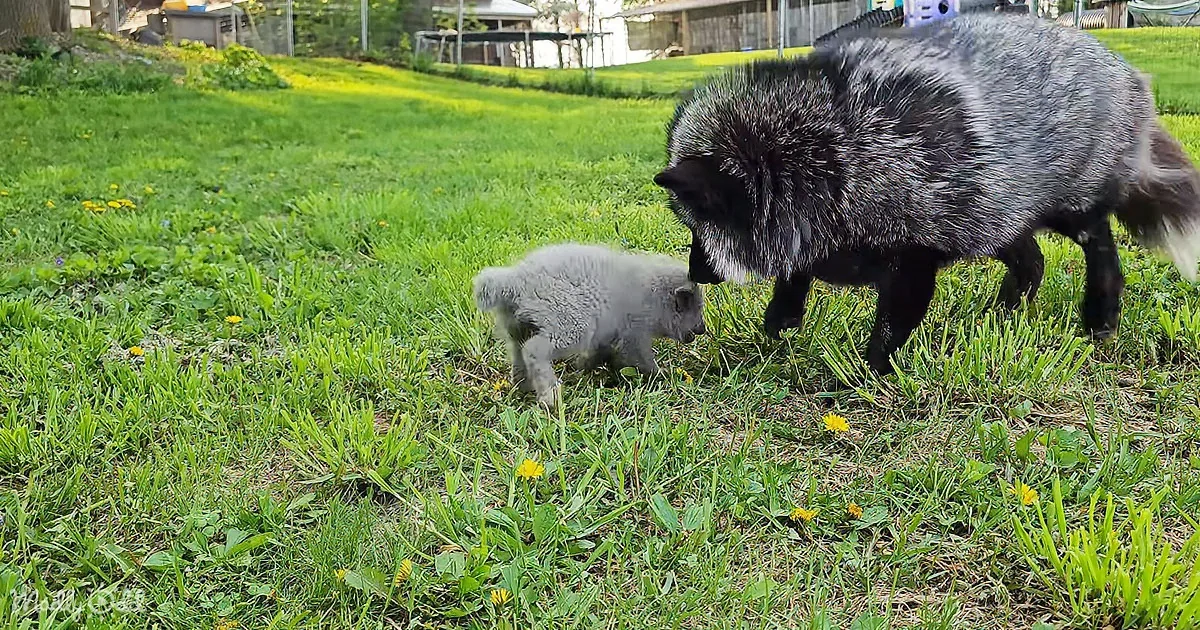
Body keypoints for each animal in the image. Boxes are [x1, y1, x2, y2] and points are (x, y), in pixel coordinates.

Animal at [653, 14, 1200, 375]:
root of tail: (1130, 73)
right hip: (998, 221)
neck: (841, 146)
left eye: (696, 226)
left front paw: (868, 379)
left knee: (1101, 251)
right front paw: (781, 321)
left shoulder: (916, 257)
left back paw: (1099, 319)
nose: (693, 273)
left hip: (1066, 213)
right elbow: (794, 278)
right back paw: (998, 318)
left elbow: (886, 334)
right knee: (1034, 262)